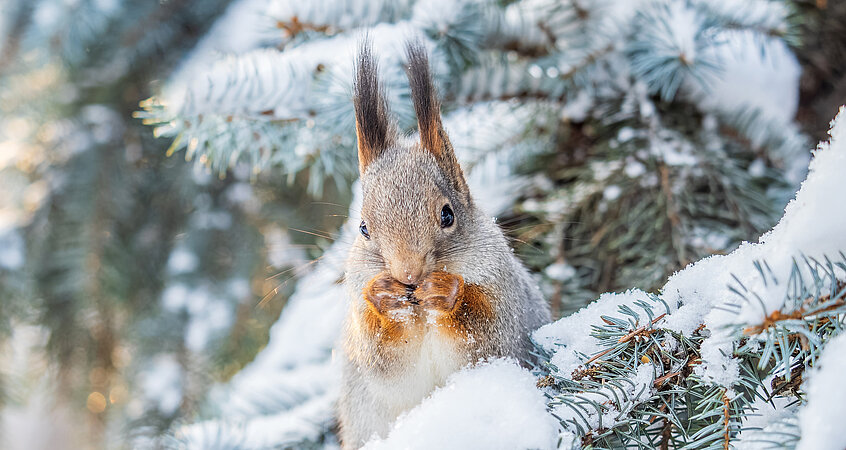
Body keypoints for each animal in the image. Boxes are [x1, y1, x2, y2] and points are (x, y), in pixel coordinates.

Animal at [337, 40, 551, 448]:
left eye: (447, 215)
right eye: (363, 228)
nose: (408, 275)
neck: (421, 313)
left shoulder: (503, 299)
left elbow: (485, 333)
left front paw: (447, 292)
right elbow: (382, 358)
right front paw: (384, 297)